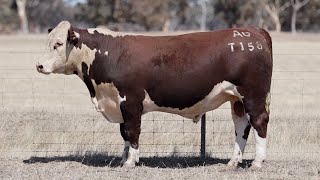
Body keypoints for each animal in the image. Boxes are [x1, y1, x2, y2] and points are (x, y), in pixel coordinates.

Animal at [37, 21, 272, 169]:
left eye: (58, 43)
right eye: (47, 42)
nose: (39, 65)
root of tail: (252, 30)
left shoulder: (130, 101)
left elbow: (132, 132)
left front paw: (131, 162)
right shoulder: (119, 103)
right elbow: (123, 133)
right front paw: (123, 160)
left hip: (253, 95)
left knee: (259, 122)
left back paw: (257, 163)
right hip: (237, 100)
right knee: (241, 126)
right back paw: (233, 162)